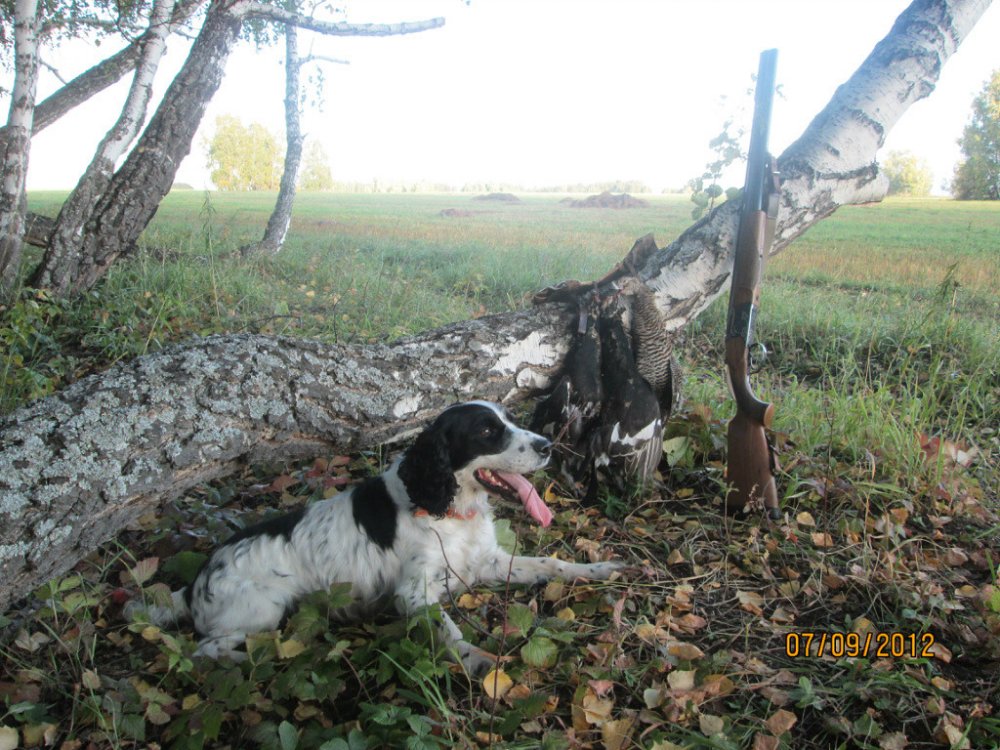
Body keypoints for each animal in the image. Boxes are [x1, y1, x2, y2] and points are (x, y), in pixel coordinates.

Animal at [128, 401, 624, 674]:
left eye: (511, 420)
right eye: (487, 431)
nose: (548, 446)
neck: (447, 509)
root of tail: (195, 583)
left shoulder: (488, 563)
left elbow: (552, 564)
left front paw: (600, 568)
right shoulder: (414, 594)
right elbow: (448, 630)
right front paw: (476, 659)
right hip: (262, 611)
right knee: (205, 650)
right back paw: (251, 661)